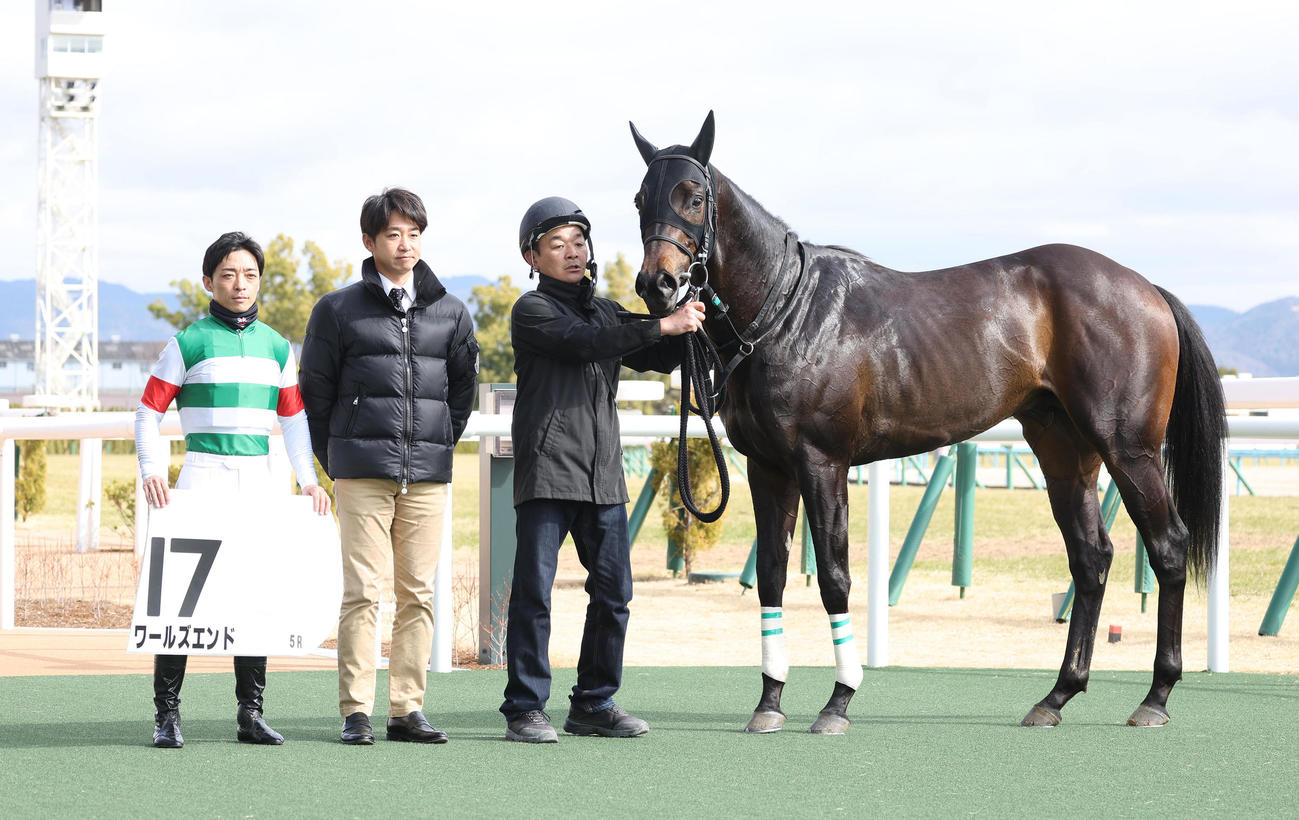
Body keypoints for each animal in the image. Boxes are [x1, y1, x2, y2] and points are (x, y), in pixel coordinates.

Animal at [629, 111, 1226, 734]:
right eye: (640, 198)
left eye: (694, 196)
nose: (657, 285)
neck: (791, 312)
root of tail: (1146, 287)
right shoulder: (769, 468)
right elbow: (772, 575)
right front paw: (769, 703)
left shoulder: (823, 463)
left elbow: (835, 579)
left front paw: (838, 702)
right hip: (1065, 454)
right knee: (1092, 557)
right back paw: (1058, 695)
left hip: (1129, 450)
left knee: (1168, 546)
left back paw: (1156, 695)